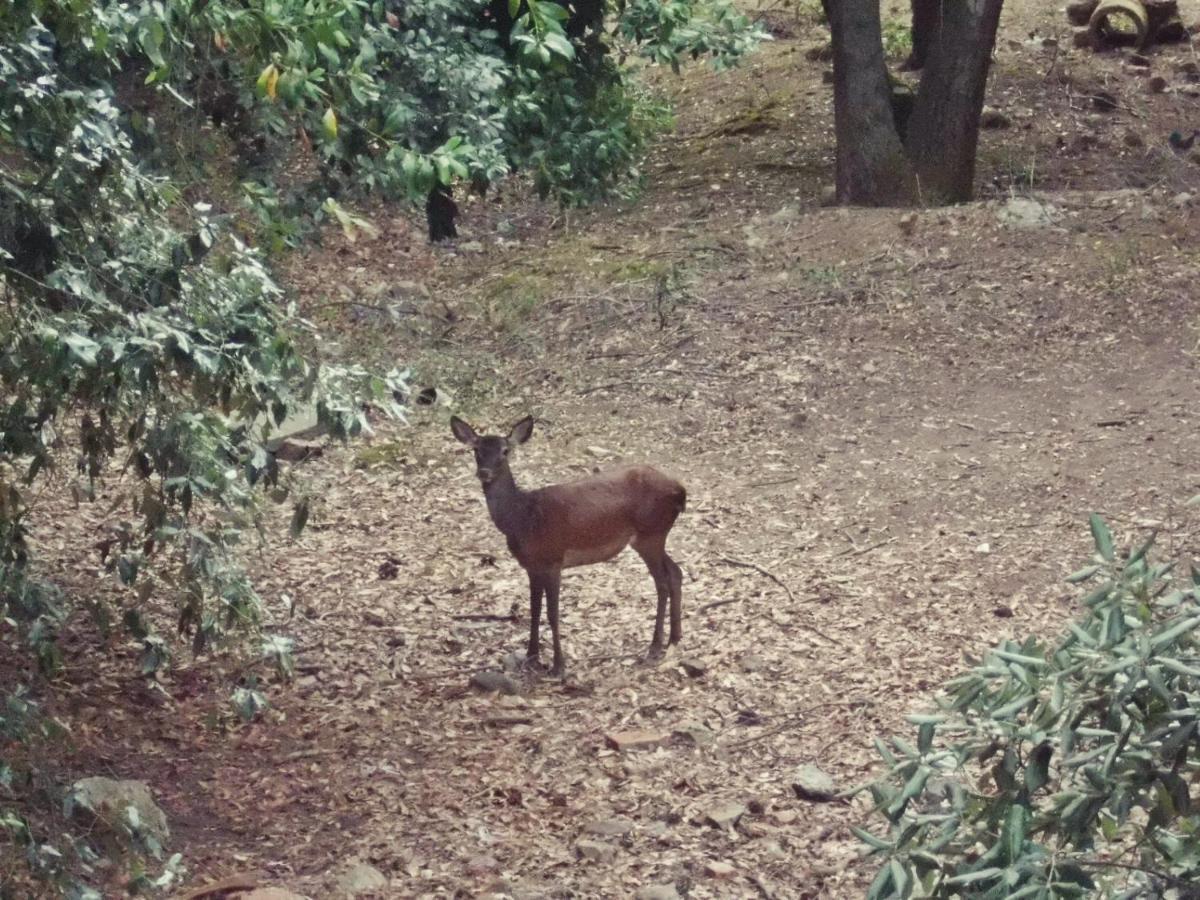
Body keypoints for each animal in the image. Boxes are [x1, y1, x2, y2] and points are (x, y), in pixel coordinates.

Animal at [451, 415, 686, 676]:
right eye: (476, 449)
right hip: (653, 536)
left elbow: (552, 613)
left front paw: (558, 666)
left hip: (650, 533)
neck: (523, 518)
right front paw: (531, 656)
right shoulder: (531, 566)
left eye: (505, 451)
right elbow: (534, 610)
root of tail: (680, 491)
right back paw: (674, 639)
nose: (484, 472)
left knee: (662, 582)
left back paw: (654, 646)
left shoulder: (554, 559)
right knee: (675, 572)